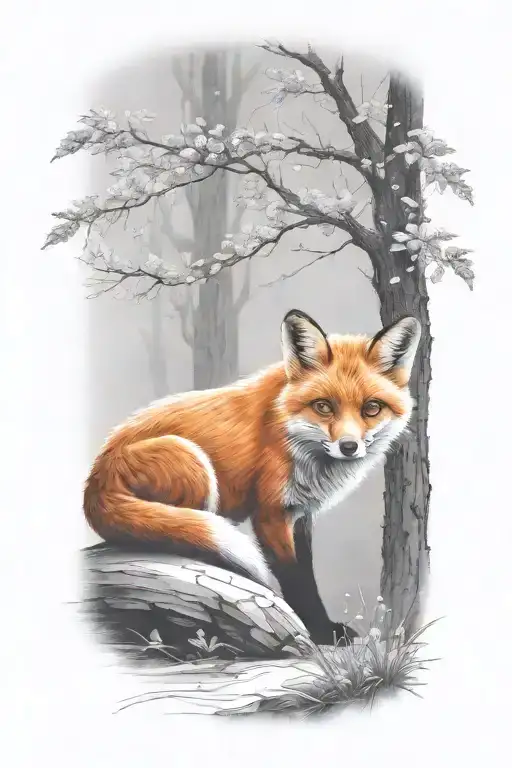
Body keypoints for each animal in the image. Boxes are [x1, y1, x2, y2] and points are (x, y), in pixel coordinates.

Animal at [84, 309, 421, 644]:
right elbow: (296, 579)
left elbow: (308, 571)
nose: (349, 447)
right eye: (323, 406)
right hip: (192, 463)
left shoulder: (300, 514)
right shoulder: (270, 514)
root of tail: (94, 480)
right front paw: (320, 632)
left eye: (372, 408)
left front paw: (326, 626)